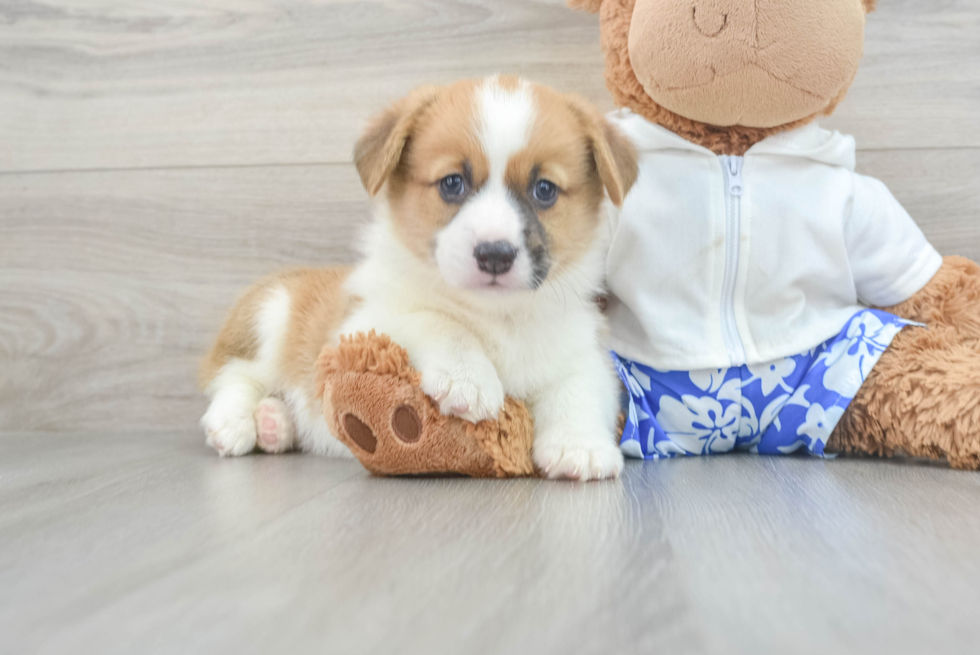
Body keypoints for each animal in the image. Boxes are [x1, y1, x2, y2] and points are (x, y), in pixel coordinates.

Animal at [203, 78, 640, 482]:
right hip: (270, 315)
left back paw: (275, 423)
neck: (496, 317)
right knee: (234, 375)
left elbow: (578, 389)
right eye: (452, 183)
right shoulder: (360, 327)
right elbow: (434, 319)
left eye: (544, 189)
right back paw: (234, 423)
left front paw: (579, 446)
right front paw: (467, 377)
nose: (495, 255)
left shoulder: (581, 353)